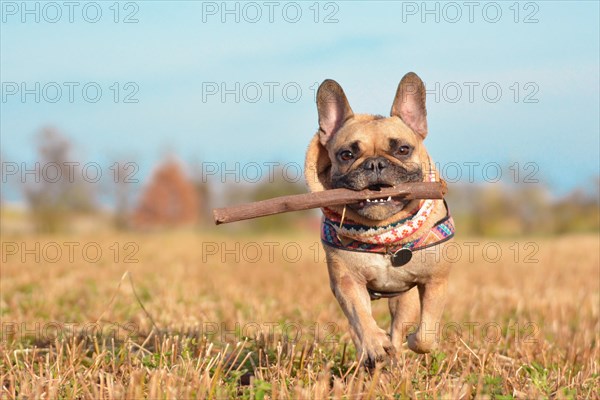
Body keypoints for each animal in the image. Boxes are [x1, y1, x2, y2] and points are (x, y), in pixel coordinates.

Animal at [304, 72, 454, 368]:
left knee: (399, 327)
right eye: (346, 154)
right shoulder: (346, 282)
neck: (383, 232)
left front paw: (411, 342)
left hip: (404, 299)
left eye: (403, 149)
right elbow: (361, 318)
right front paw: (374, 344)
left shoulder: (435, 281)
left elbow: (426, 335)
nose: (374, 164)